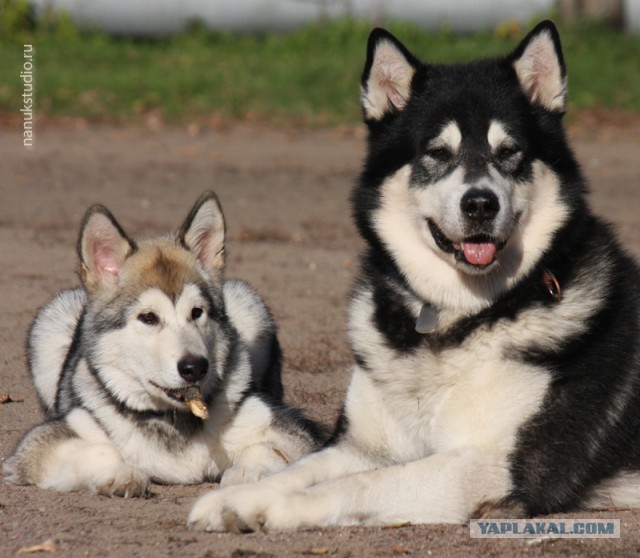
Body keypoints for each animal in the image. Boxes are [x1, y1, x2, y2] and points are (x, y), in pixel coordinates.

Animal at [190, 20, 640, 528]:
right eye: (437, 153)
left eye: (510, 152)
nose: (480, 203)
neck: (454, 314)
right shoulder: (360, 446)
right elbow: (299, 469)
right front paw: (236, 497)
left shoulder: (486, 466)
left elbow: (358, 484)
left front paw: (272, 507)